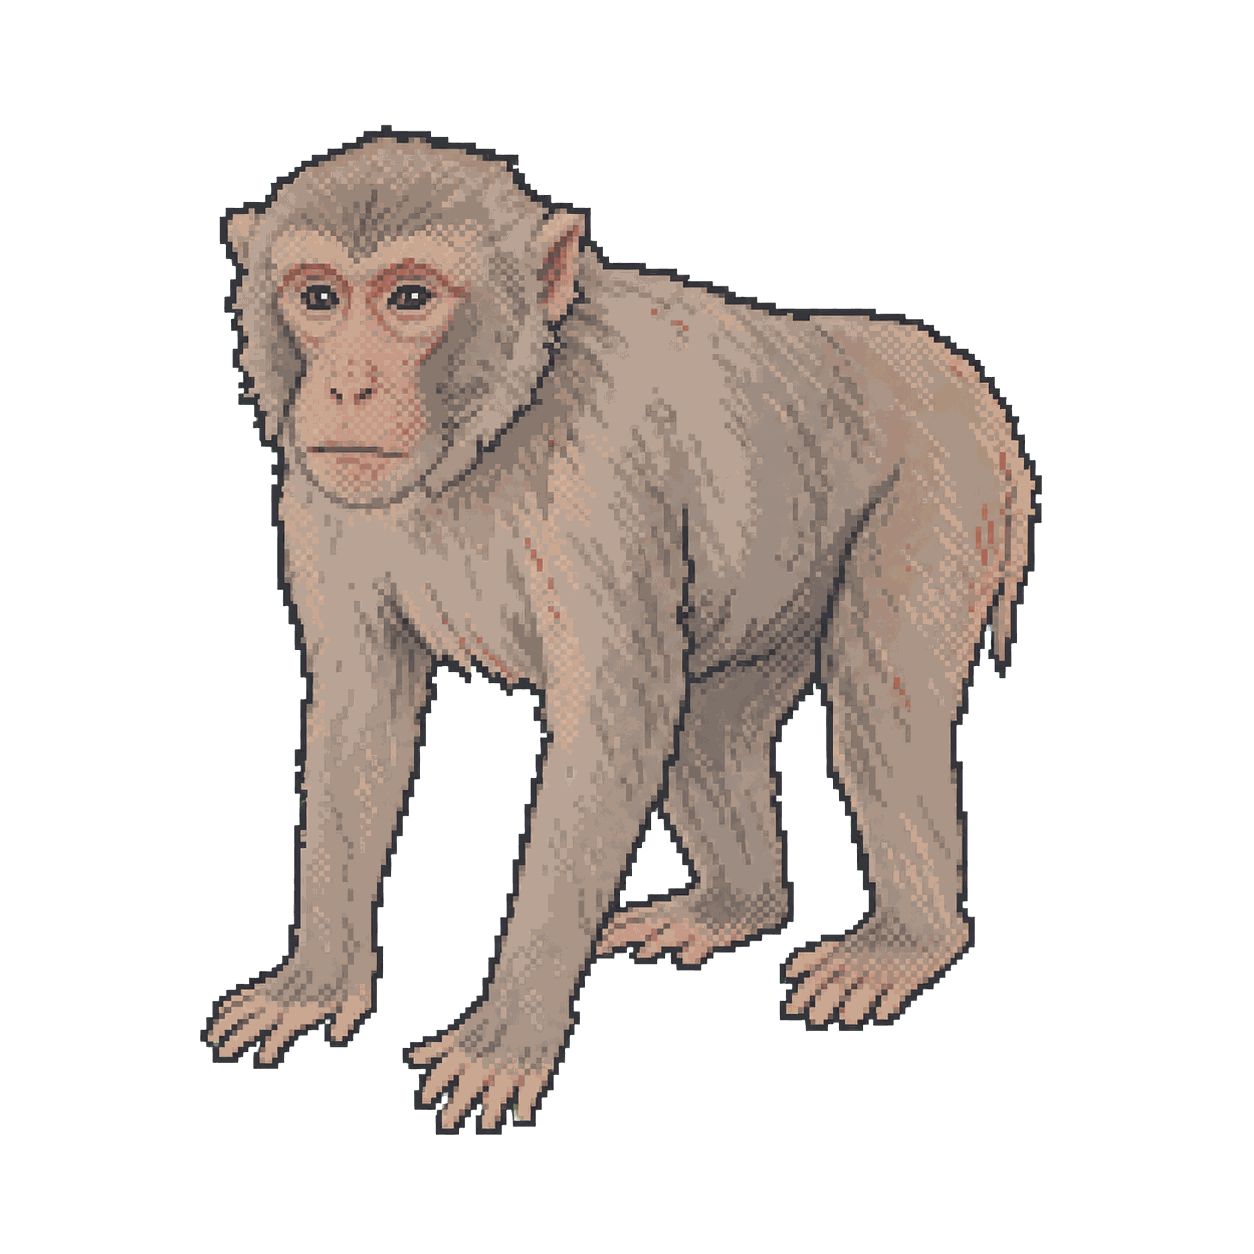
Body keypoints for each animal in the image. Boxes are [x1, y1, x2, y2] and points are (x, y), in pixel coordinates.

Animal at [206, 134, 1036, 1133]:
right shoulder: (322, 499)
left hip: (944, 485)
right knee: (706, 732)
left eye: (408, 299)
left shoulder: (603, 473)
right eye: (320, 298)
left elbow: (608, 730)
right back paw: (736, 907)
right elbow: (361, 719)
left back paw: (909, 942)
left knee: (882, 711)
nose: (346, 383)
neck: (496, 428)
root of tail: (948, 366)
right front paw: (317, 983)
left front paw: (505, 1038)